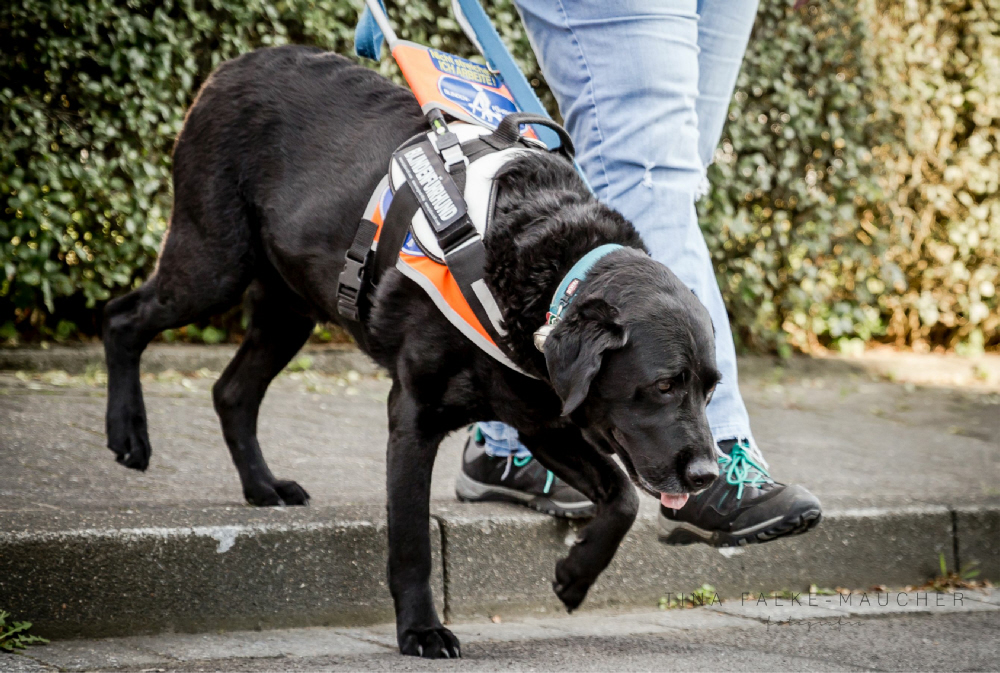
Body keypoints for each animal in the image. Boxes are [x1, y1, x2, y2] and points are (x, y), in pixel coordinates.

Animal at [103, 47, 720, 656]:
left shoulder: (540, 419)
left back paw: (262, 487)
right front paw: (421, 630)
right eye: (663, 385)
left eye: (710, 390)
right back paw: (128, 433)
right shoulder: (414, 415)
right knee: (122, 319)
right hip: (213, 262)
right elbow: (410, 540)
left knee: (231, 391)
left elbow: (622, 497)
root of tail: (234, 65)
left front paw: (575, 575)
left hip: (287, 310)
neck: (539, 269)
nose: (708, 475)